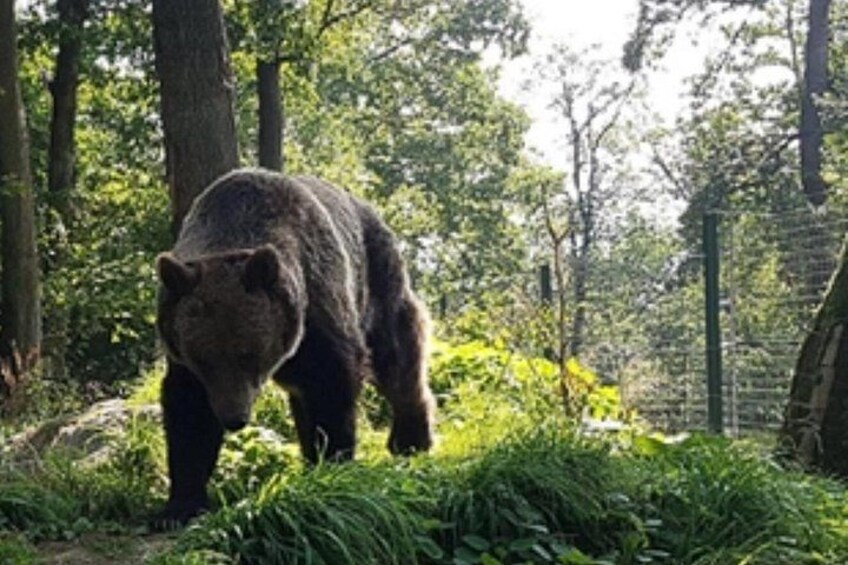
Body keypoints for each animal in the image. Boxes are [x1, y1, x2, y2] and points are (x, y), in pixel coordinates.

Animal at [154, 168, 435, 525]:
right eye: (203, 359)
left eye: (247, 354)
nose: (234, 418)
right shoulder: (182, 347)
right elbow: (188, 411)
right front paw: (181, 504)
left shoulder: (317, 308)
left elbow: (331, 385)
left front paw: (334, 465)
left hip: (377, 279)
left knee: (398, 357)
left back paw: (411, 441)